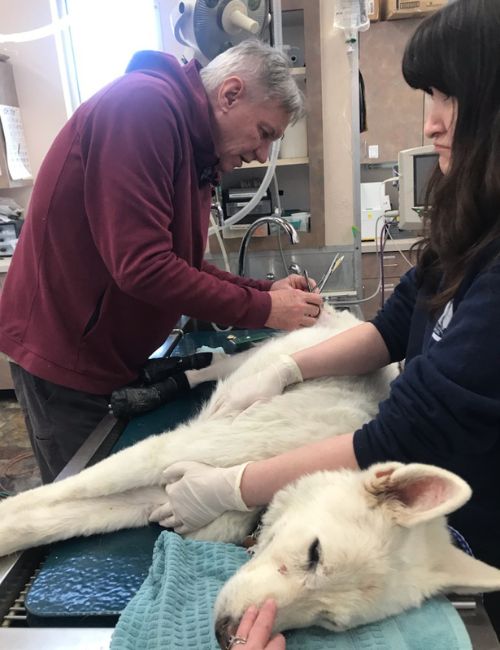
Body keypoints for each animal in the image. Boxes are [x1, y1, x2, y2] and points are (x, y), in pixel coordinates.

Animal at [0, 306, 500, 636]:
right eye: (314, 553)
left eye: (327, 622)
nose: (227, 633)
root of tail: (353, 315)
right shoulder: (164, 452)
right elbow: (43, 501)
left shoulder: (162, 497)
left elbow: (52, 519)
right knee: (224, 362)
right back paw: (163, 382)